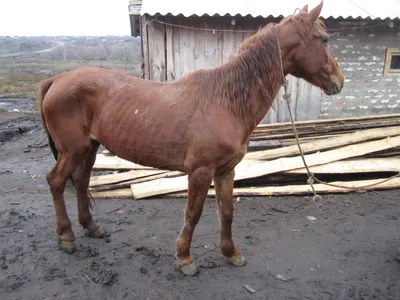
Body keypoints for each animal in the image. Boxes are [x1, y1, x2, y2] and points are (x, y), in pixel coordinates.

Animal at [38, 1, 344, 276]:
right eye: (324, 40)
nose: (339, 82)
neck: (226, 101)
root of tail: (56, 80)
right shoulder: (200, 171)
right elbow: (193, 214)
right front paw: (185, 259)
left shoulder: (226, 171)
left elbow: (226, 212)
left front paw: (231, 253)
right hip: (72, 150)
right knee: (56, 182)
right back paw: (66, 237)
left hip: (89, 148)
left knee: (81, 183)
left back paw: (92, 228)